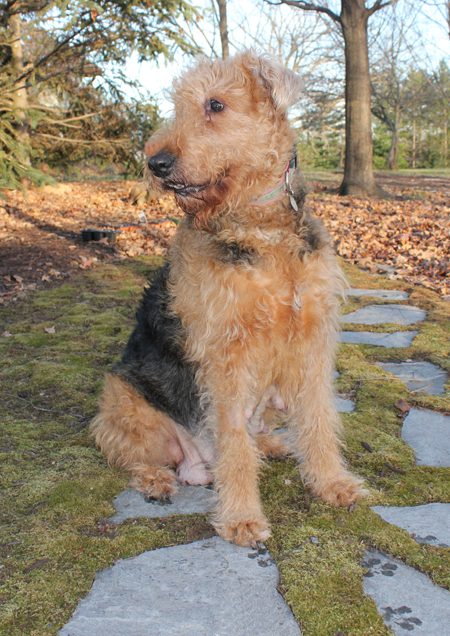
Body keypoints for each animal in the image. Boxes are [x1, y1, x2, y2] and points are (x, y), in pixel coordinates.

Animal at [90, 52, 366, 548]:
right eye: (178, 104)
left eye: (215, 104)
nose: (156, 163)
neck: (260, 223)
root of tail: (194, 464)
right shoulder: (228, 355)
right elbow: (234, 443)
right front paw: (241, 518)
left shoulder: (312, 340)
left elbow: (319, 418)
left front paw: (332, 483)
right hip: (127, 406)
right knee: (131, 454)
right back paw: (157, 481)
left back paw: (272, 444)